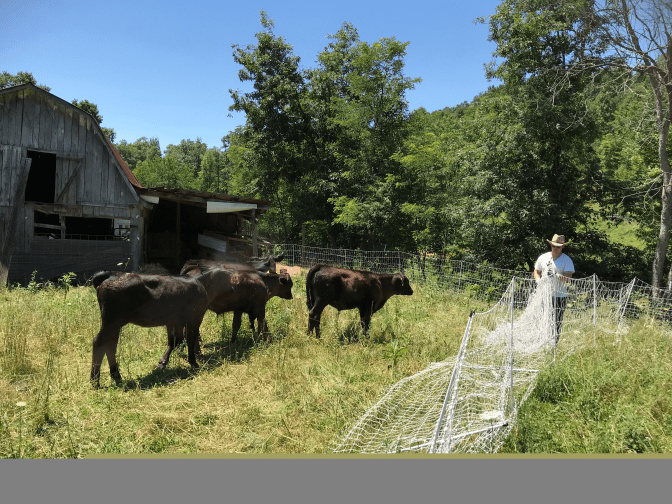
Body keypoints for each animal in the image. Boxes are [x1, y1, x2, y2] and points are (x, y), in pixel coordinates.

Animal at [89, 267, 232, 387]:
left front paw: (162, 364)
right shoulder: (194, 319)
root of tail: (112, 274)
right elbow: (190, 341)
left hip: (114, 324)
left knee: (110, 345)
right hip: (112, 321)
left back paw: (116, 376)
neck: (201, 284)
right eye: (230, 278)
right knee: (99, 343)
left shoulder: (174, 321)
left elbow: (174, 341)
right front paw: (194, 363)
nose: (232, 288)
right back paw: (95, 381)